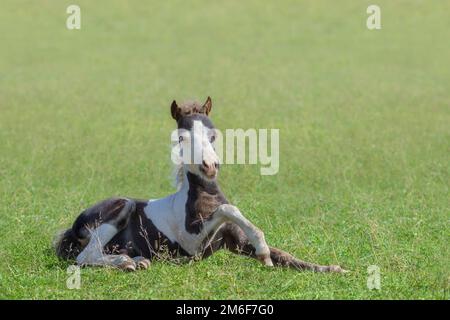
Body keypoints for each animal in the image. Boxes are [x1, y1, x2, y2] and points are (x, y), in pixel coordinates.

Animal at [55, 97, 344, 272]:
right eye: (181, 137)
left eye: (213, 133)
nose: (210, 166)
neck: (205, 195)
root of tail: (73, 227)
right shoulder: (193, 247)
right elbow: (228, 209)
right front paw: (263, 250)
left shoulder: (236, 243)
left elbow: (286, 256)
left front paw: (333, 268)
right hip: (121, 206)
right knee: (85, 257)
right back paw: (125, 262)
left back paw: (137, 261)